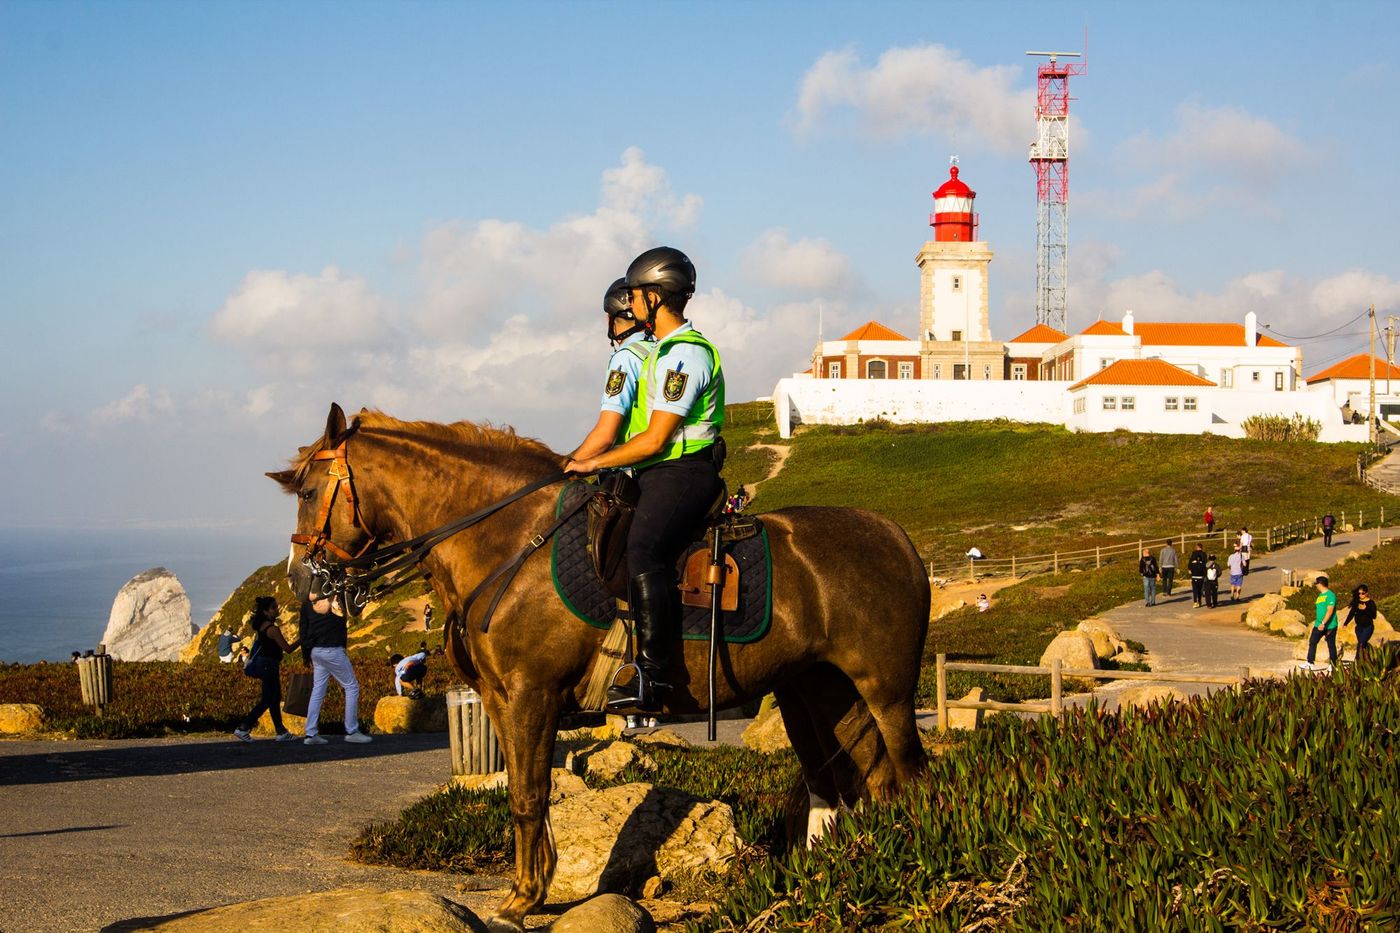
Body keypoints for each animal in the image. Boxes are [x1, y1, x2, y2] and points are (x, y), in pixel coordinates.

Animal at [273, 403, 929, 924]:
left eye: (307, 493)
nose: (303, 582)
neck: (508, 537)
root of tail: (897, 537)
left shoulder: (531, 693)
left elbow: (529, 795)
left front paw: (522, 900)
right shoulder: (501, 700)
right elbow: (527, 792)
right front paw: (533, 886)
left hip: (886, 693)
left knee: (910, 777)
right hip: (818, 695)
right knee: (850, 785)